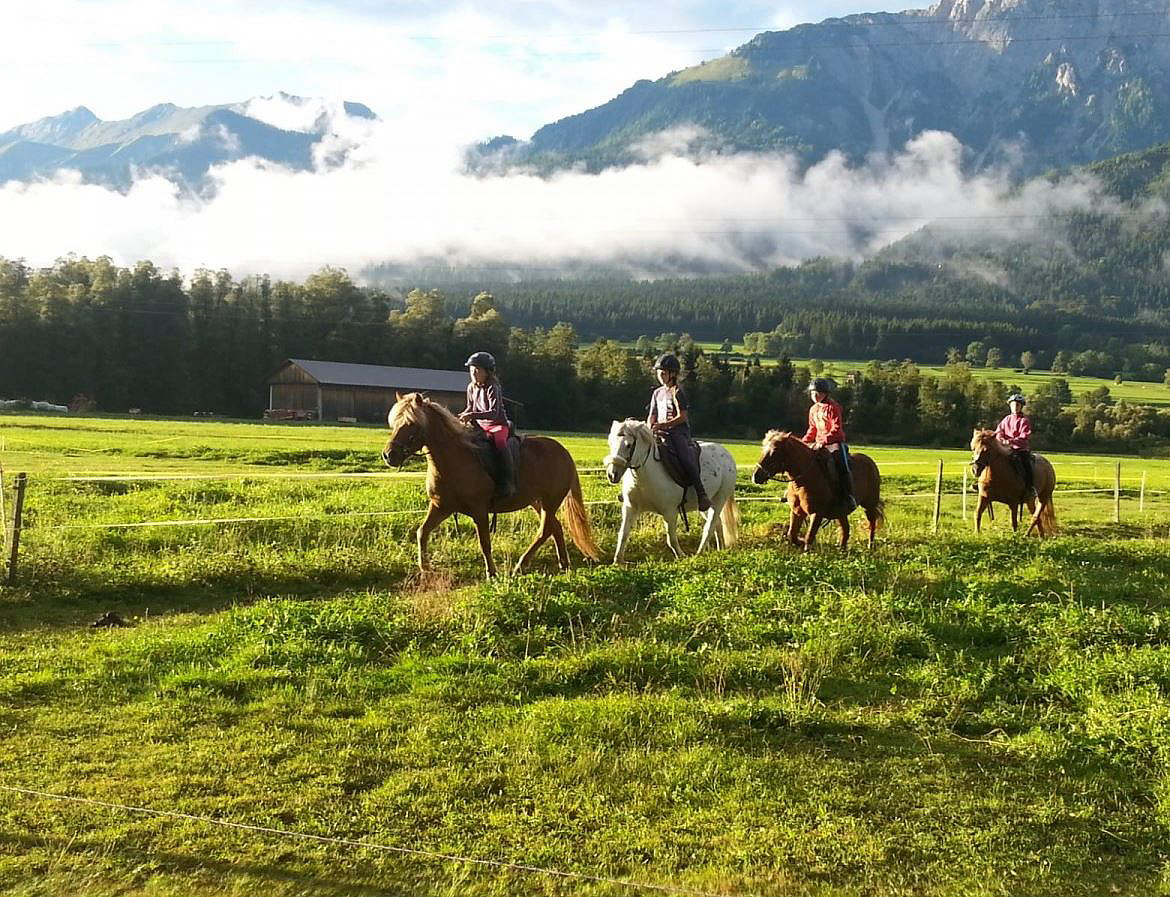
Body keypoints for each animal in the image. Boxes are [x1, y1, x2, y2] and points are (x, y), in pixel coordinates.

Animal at [382, 392, 601, 578]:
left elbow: (484, 542)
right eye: (394, 423)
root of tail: (563, 452)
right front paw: (425, 567)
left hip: (550, 501)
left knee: (544, 531)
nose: (389, 455)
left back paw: (521, 565)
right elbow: (422, 532)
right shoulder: (440, 507)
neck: (454, 459)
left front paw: (492, 573)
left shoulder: (479, 510)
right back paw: (564, 564)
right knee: (555, 528)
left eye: (412, 424)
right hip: (537, 502)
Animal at [604, 419, 740, 561]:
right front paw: (618, 561)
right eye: (610, 443)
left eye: (628, 445)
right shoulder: (630, 508)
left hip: (719, 500)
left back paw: (699, 553)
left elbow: (671, 539)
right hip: (706, 505)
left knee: (710, 526)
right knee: (717, 523)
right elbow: (623, 534)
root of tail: (726, 453)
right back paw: (720, 549)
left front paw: (681, 556)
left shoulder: (670, 512)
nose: (612, 475)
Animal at [751, 431, 884, 550]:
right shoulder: (796, 512)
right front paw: (800, 542)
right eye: (763, 449)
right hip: (842, 512)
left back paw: (870, 546)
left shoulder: (816, 513)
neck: (803, 480)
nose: (756, 476)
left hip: (869, 505)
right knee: (846, 530)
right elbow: (792, 535)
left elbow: (809, 537)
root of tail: (870, 462)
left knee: (872, 524)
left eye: (774, 451)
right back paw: (842, 550)